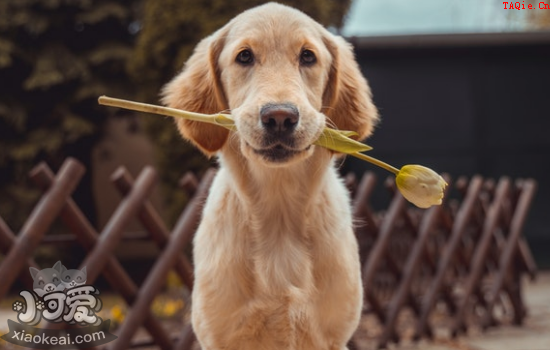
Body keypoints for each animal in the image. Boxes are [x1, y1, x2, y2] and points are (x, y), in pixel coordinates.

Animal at [164, 2, 380, 350]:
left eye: (308, 56)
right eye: (244, 57)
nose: (280, 117)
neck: (279, 212)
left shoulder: (334, 336)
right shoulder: (218, 335)